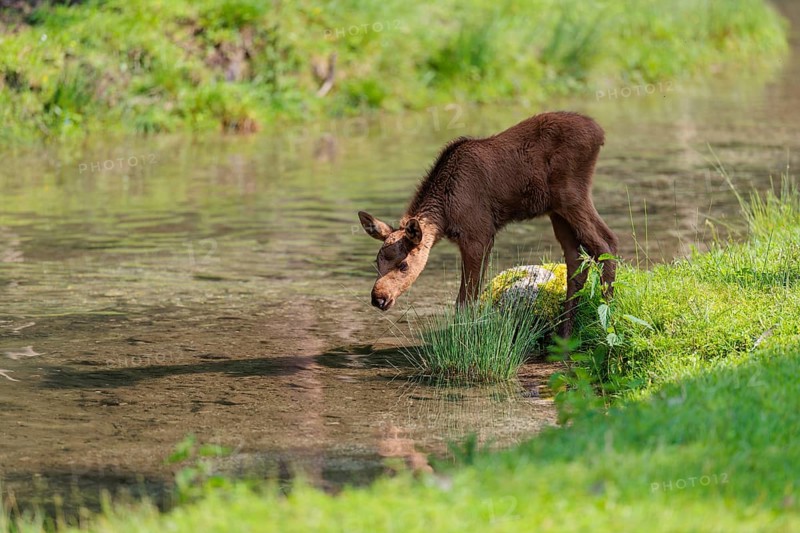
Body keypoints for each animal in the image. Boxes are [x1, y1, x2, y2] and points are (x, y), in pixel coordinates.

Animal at [358, 111, 618, 338]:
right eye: (377, 262)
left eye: (403, 265)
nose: (378, 298)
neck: (445, 214)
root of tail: (601, 133)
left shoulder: (478, 234)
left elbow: (465, 299)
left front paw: (464, 338)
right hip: (556, 209)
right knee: (576, 258)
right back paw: (565, 336)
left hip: (572, 194)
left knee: (606, 242)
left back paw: (606, 319)